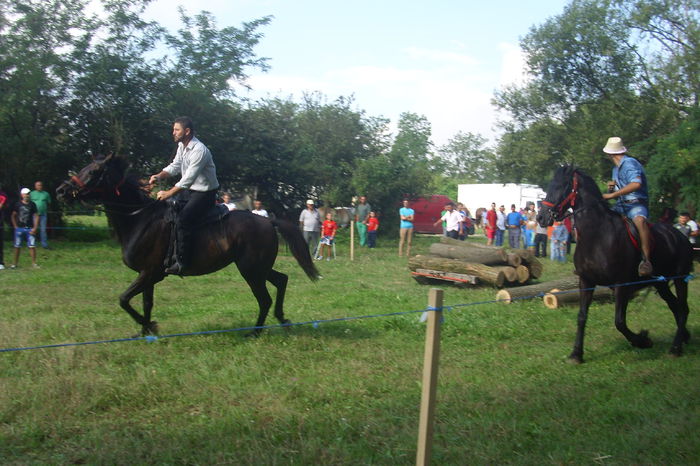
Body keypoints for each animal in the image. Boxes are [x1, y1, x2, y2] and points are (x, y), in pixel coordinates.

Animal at [57, 155, 320, 336]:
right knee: (282, 280)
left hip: (251, 271)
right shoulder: (148, 275)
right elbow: (145, 302)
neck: (140, 218)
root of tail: (267, 220)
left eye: (94, 171)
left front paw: (150, 325)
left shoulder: (150, 273)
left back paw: (255, 332)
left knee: (264, 299)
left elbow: (124, 299)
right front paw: (145, 331)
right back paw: (283, 320)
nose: (61, 190)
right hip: (258, 268)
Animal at [540, 166, 692, 362]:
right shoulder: (586, 281)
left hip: (680, 279)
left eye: (562, 186)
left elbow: (619, 321)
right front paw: (576, 354)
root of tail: (681, 235)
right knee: (675, 306)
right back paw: (684, 337)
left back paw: (675, 347)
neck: (596, 235)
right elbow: (582, 316)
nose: (541, 217)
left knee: (683, 308)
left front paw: (643, 340)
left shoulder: (621, 284)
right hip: (661, 282)